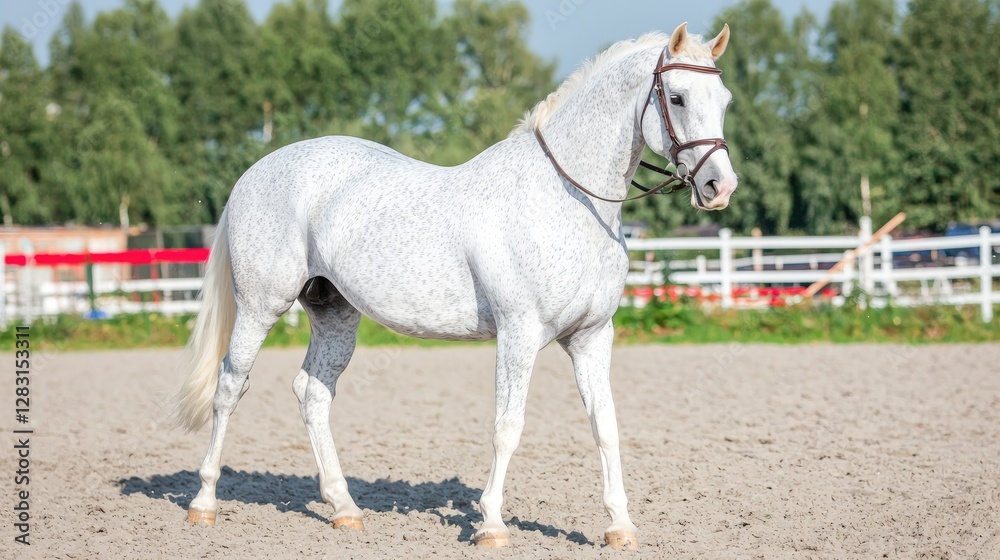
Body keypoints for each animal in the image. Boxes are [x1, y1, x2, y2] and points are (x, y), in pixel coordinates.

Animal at [172, 22, 737, 550]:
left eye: (724, 99)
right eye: (678, 97)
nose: (720, 187)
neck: (567, 196)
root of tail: (254, 172)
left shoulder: (592, 336)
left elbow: (606, 426)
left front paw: (620, 526)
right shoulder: (518, 334)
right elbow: (508, 428)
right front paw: (492, 525)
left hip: (334, 313)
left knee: (313, 394)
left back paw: (345, 509)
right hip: (260, 306)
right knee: (230, 386)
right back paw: (204, 504)